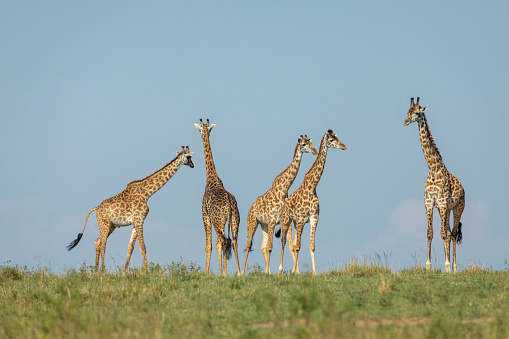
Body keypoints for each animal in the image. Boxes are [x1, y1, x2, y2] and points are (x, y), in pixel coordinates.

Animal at [194, 119, 242, 276]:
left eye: (200, 130)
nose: (203, 134)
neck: (211, 179)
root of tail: (229, 205)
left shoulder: (205, 216)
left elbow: (208, 245)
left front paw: (206, 272)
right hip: (234, 220)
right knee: (233, 241)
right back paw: (239, 272)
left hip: (218, 221)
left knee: (221, 242)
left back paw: (223, 273)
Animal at [240, 135, 316, 276]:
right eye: (303, 144)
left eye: (311, 143)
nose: (314, 151)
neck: (283, 189)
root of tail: (251, 208)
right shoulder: (272, 220)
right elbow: (271, 247)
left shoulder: (283, 221)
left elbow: (288, 245)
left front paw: (292, 271)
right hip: (252, 222)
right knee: (249, 245)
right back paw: (241, 272)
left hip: (263, 225)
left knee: (262, 246)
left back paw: (267, 271)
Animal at [278, 129, 346, 274]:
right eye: (331, 140)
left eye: (337, 137)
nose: (344, 146)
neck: (312, 187)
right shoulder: (301, 219)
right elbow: (297, 246)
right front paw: (295, 272)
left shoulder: (314, 218)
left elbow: (311, 246)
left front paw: (313, 272)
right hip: (286, 220)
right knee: (284, 241)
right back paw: (280, 270)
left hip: (294, 222)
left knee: (292, 243)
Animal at [404, 97, 464, 272]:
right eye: (408, 112)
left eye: (417, 113)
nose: (405, 122)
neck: (433, 168)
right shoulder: (430, 202)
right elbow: (430, 232)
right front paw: (428, 266)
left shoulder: (442, 202)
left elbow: (443, 233)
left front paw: (446, 266)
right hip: (447, 209)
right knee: (449, 231)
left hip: (458, 208)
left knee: (453, 232)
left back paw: (454, 268)